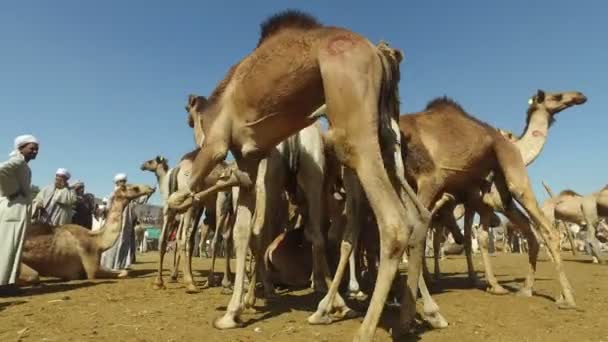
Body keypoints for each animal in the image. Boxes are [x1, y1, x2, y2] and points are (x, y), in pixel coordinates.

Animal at [20, 183, 156, 282]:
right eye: (135, 188)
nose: (151, 188)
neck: (97, 241)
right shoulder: (91, 267)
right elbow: (124, 272)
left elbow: (124, 271)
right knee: (34, 276)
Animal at [175, 9, 428, 340]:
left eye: (189, 118)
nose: (194, 140)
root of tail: (378, 53)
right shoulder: (248, 161)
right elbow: (243, 232)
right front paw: (231, 314)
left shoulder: (219, 141)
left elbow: (198, 189)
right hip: (387, 137)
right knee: (418, 216)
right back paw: (409, 319)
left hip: (351, 125)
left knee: (392, 223)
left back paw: (358, 326)